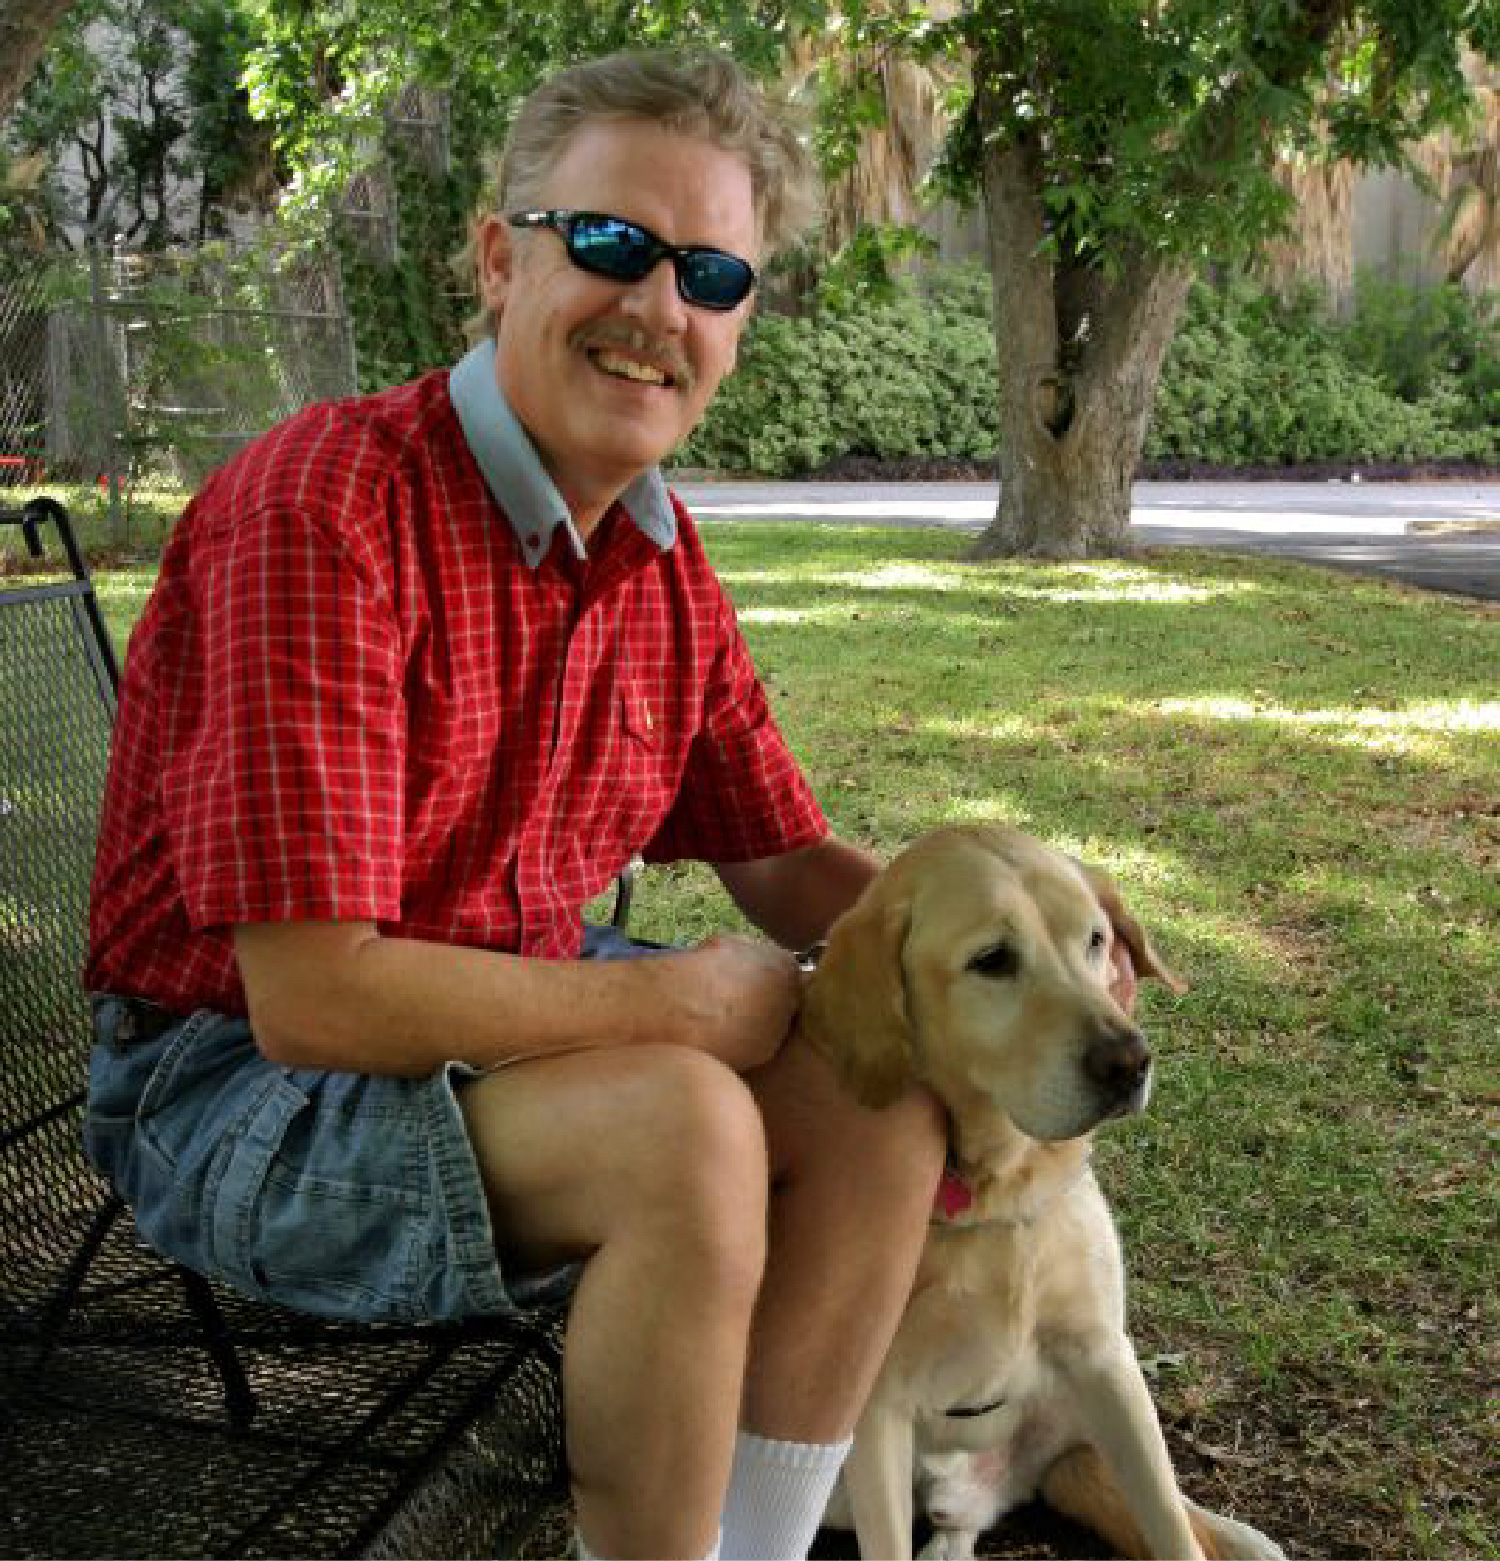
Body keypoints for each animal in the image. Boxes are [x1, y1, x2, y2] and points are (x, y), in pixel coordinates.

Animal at [799, 824, 1279, 1554]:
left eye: (1096, 939)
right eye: (992, 960)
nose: (1130, 1061)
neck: (997, 1191)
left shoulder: (1106, 1361)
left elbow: (1172, 1528)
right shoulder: (875, 1411)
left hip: (1096, 1424)